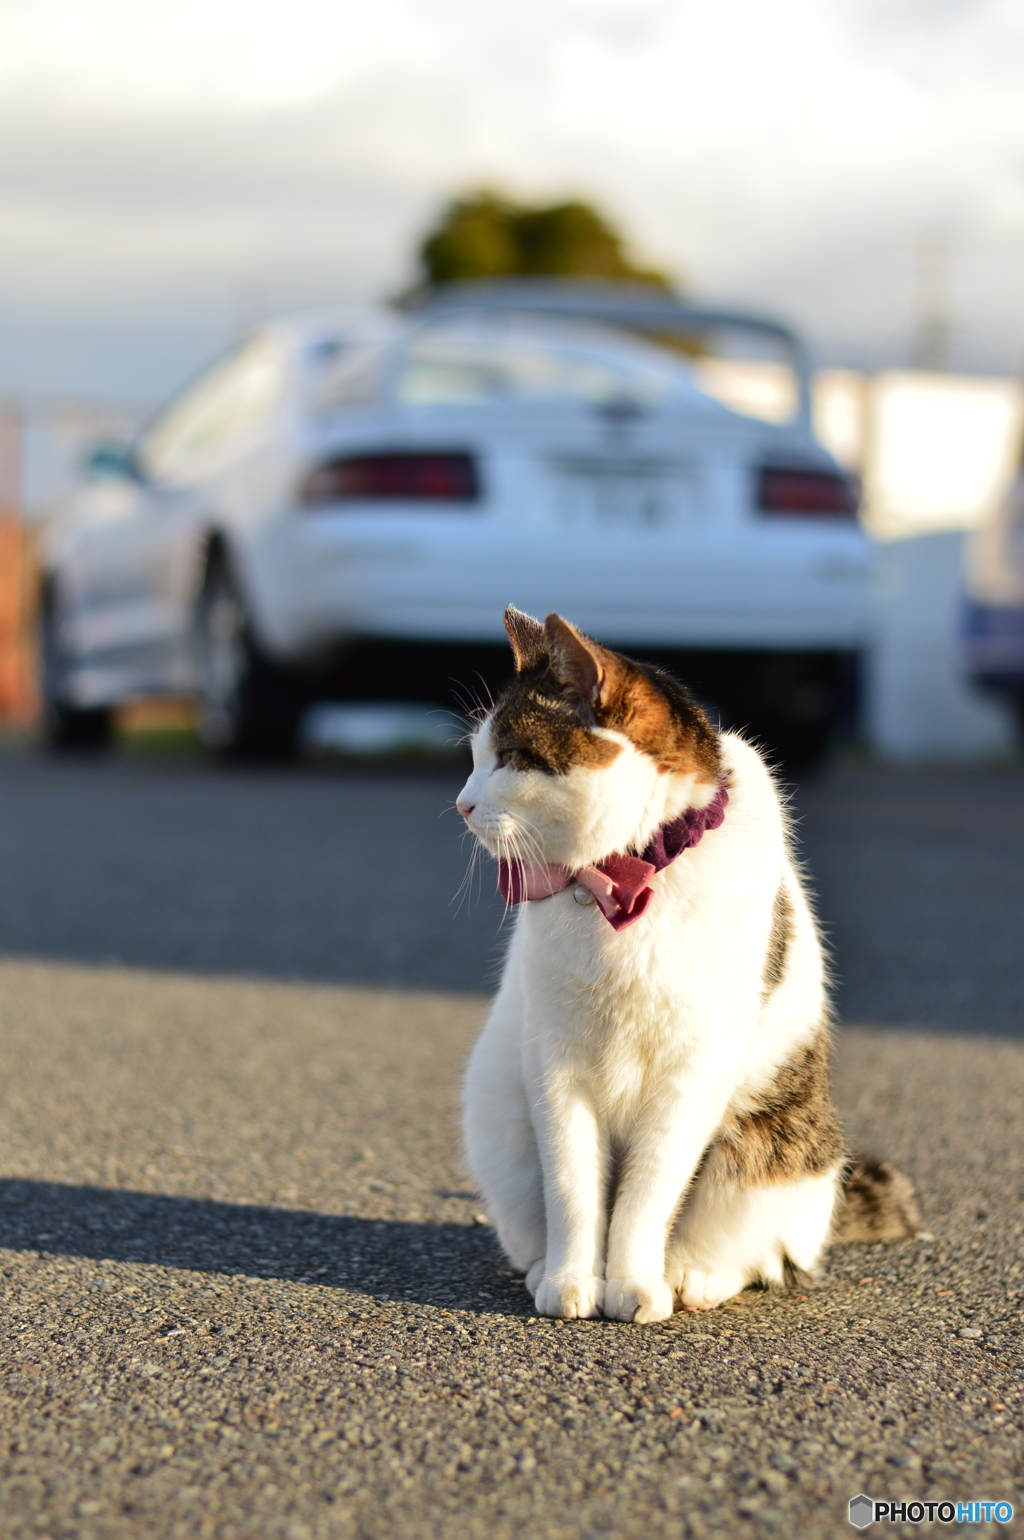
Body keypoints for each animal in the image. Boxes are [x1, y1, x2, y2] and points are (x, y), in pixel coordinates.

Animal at [458, 609, 911, 1324]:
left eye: (511, 758)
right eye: (475, 758)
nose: (462, 804)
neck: (623, 879)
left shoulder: (693, 1071)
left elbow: (646, 1194)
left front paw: (636, 1283)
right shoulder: (555, 1066)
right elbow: (574, 1190)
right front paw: (571, 1280)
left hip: (767, 1150)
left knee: (763, 1254)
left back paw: (691, 1277)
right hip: (497, 1118)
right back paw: (539, 1268)